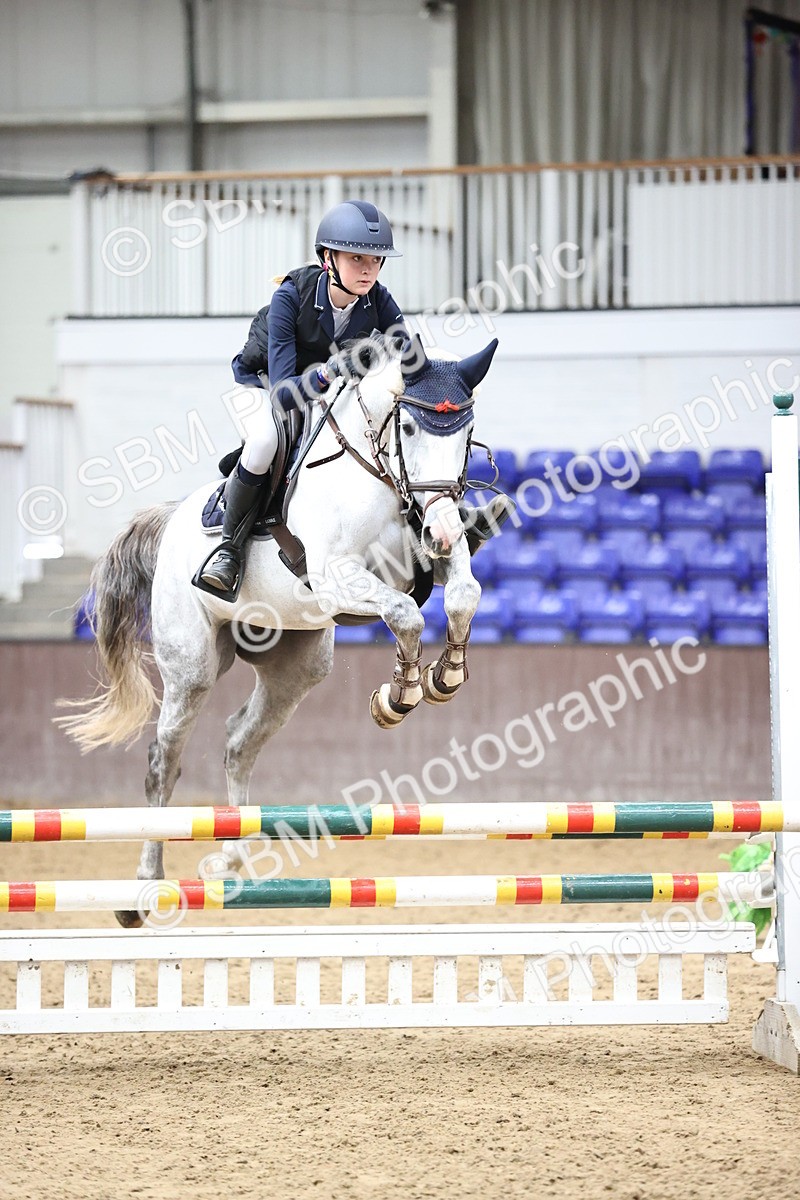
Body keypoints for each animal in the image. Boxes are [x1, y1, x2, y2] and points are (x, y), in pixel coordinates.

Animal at [56, 334, 499, 925]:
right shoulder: (337, 579)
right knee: (162, 763)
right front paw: (399, 696)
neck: (376, 474)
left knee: (239, 743)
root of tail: (171, 519)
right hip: (192, 667)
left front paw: (443, 677)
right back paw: (142, 890)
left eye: (467, 434)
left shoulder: (430, 554)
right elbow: (406, 613)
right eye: (407, 428)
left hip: (296, 669)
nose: (446, 530)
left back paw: (228, 860)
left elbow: (462, 596)